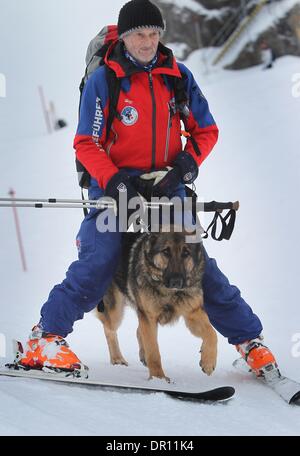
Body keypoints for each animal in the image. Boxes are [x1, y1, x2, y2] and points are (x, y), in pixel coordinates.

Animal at [96, 230, 218, 382]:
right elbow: (153, 351)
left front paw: (208, 361)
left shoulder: (193, 314)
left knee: (137, 330)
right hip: (116, 311)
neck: (169, 292)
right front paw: (158, 378)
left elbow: (212, 333)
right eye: (166, 252)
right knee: (109, 329)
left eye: (186, 253)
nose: (176, 281)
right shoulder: (149, 317)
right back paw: (117, 359)